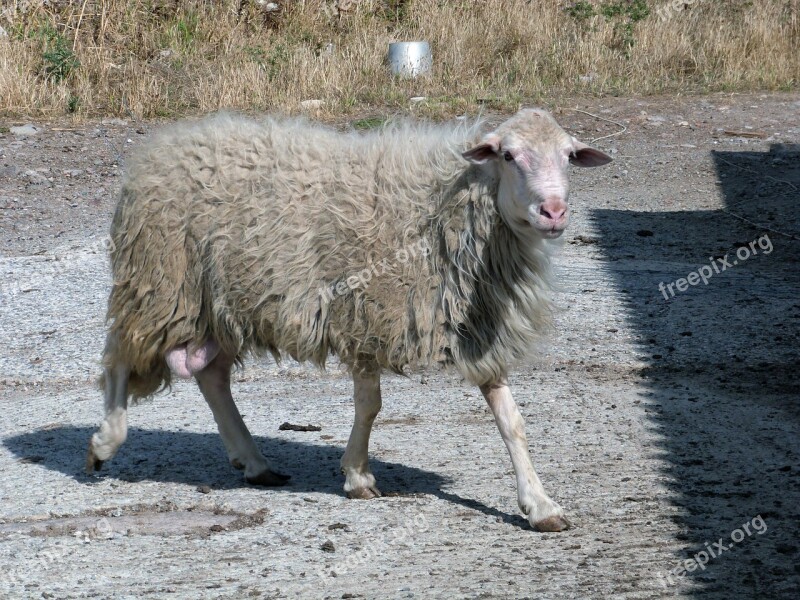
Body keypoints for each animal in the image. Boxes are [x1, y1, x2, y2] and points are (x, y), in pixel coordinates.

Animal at [87, 108, 612, 528]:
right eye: (507, 155)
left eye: (569, 156)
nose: (553, 211)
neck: (444, 209)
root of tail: (167, 142)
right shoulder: (363, 317)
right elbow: (370, 406)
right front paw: (358, 476)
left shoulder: (477, 326)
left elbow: (511, 421)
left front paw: (540, 505)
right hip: (159, 284)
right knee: (118, 358)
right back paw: (105, 443)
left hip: (218, 304)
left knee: (211, 376)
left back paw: (254, 462)